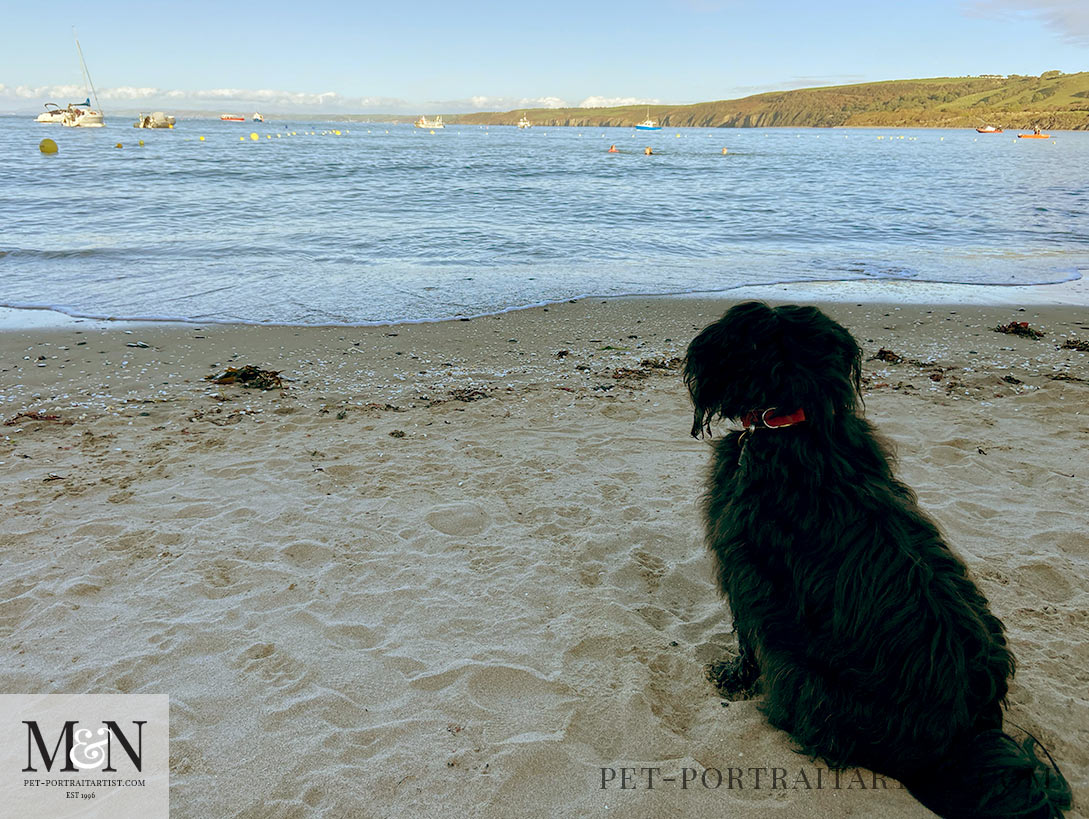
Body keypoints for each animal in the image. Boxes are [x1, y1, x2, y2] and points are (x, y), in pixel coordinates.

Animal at [683, 302, 1067, 819]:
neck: (797, 423)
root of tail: (963, 735)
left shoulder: (746, 571)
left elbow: (746, 635)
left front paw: (730, 677)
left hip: (801, 673)